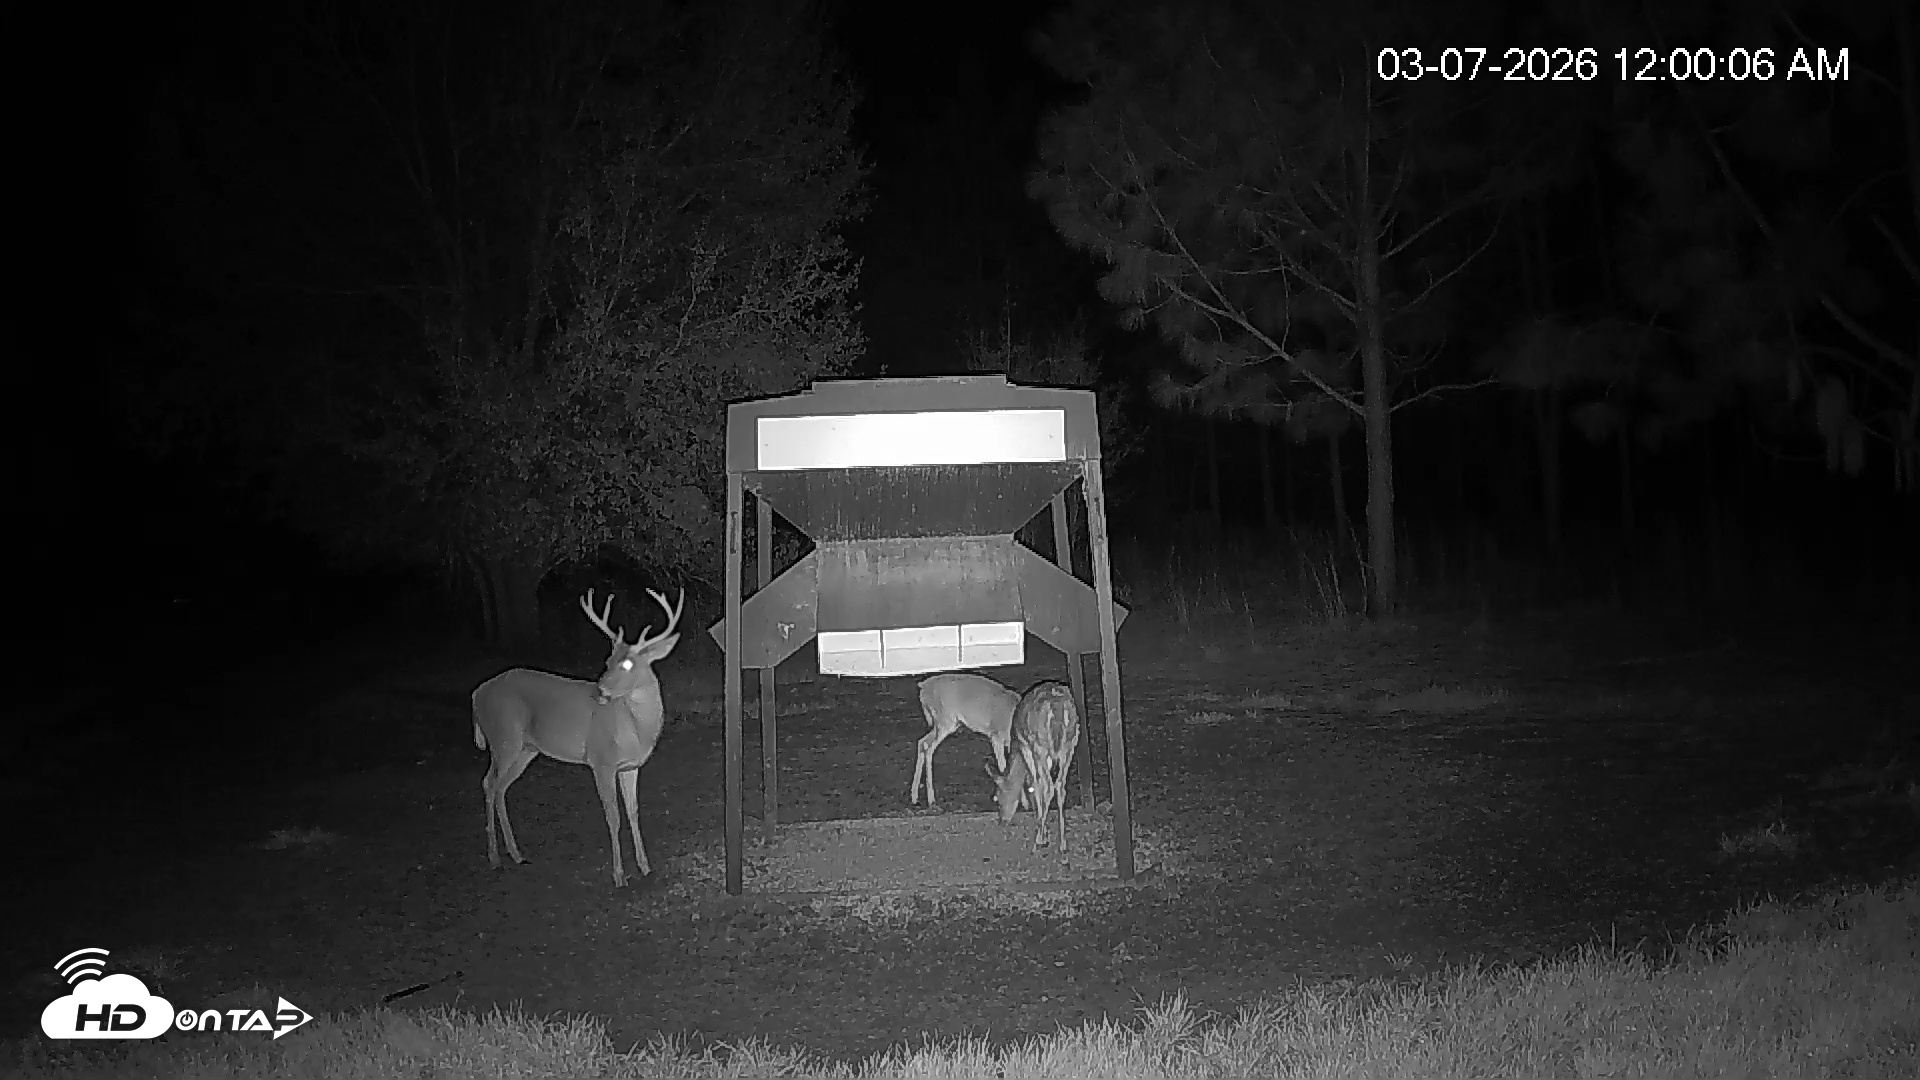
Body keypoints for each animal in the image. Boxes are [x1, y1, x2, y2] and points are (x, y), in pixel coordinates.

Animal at [472, 587, 683, 887]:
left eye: (627, 664)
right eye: (607, 661)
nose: (599, 691)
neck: (635, 729)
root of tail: (476, 694)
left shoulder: (630, 766)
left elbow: (633, 812)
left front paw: (645, 866)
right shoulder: (601, 760)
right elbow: (614, 817)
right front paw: (619, 876)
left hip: (526, 748)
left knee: (500, 787)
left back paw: (516, 854)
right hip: (503, 737)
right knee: (488, 783)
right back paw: (494, 858)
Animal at [992, 681, 1080, 857]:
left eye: (997, 798)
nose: (1002, 820)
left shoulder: (1027, 748)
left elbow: (1035, 784)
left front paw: (1043, 835)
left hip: (1040, 746)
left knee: (1048, 785)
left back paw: (1038, 841)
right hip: (1070, 743)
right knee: (1060, 785)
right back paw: (1063, 845)